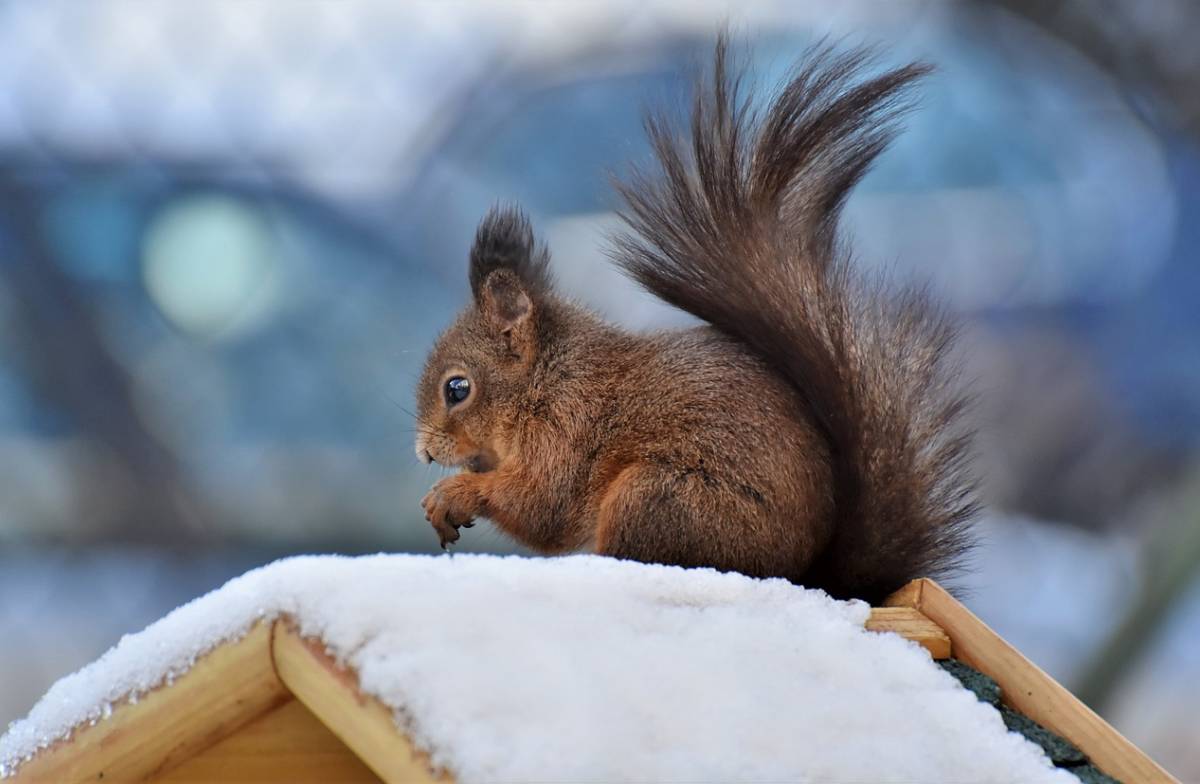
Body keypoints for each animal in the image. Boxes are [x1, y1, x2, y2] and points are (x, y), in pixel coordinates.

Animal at [412, 36, 974, 602]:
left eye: (457, 389)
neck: (546, 378)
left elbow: (542, 505)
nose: (424, 454)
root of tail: (812, 576)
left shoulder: (566, 428)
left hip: (658, 498)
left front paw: (454, 493)